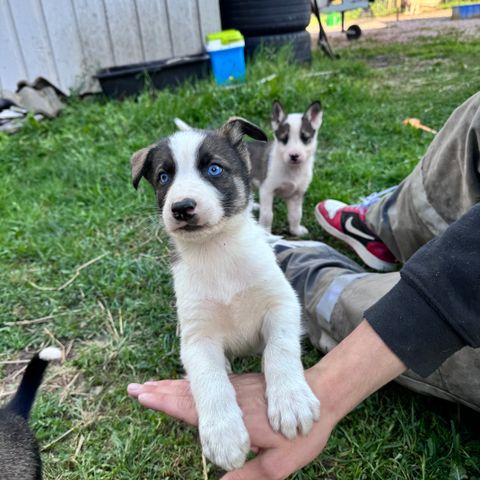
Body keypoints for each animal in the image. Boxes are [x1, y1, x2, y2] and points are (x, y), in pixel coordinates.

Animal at [129, 117, 320, 472]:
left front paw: (292, 401)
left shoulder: (282, 304)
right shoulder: (197, 336)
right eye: (164, 177)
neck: (217, 250)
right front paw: (224, 435)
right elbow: (210, 380)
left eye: (214, 169)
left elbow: (281, 349)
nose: (181, 208)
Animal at [248, 101, 322, 236]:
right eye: (284, 139)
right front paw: (266, 233)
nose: (294, 156)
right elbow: (267, 215)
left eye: (305, 138)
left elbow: (296, 214)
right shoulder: (267, 190)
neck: (293, 170)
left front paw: (296, 230)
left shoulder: (297, 195)